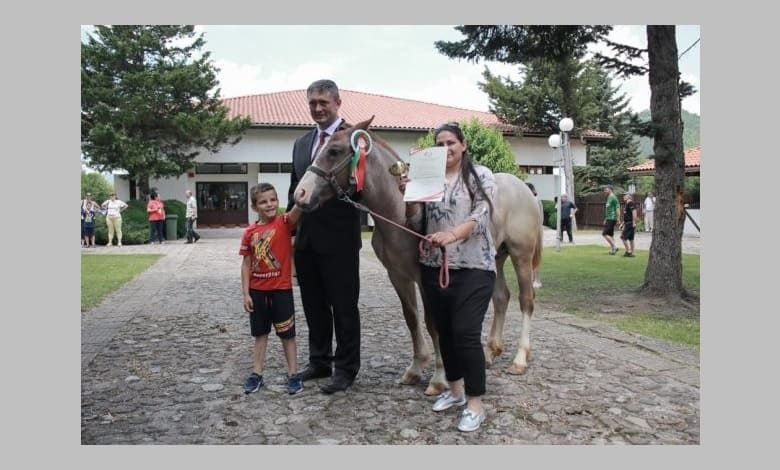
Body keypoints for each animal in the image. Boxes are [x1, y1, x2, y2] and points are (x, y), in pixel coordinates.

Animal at [292, 115, 544, 394]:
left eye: (334, 151)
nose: (300, 194)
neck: (399, 215)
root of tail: (525, 188)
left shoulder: (426, 278)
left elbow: (433, 322)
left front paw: (439, 377)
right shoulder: (398, 275)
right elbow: (412, 318)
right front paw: (415, 369)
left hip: (521, 256)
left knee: (526, 300)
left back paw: (519, 359)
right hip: (497, 258)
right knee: (501, 298)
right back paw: (489, 353)